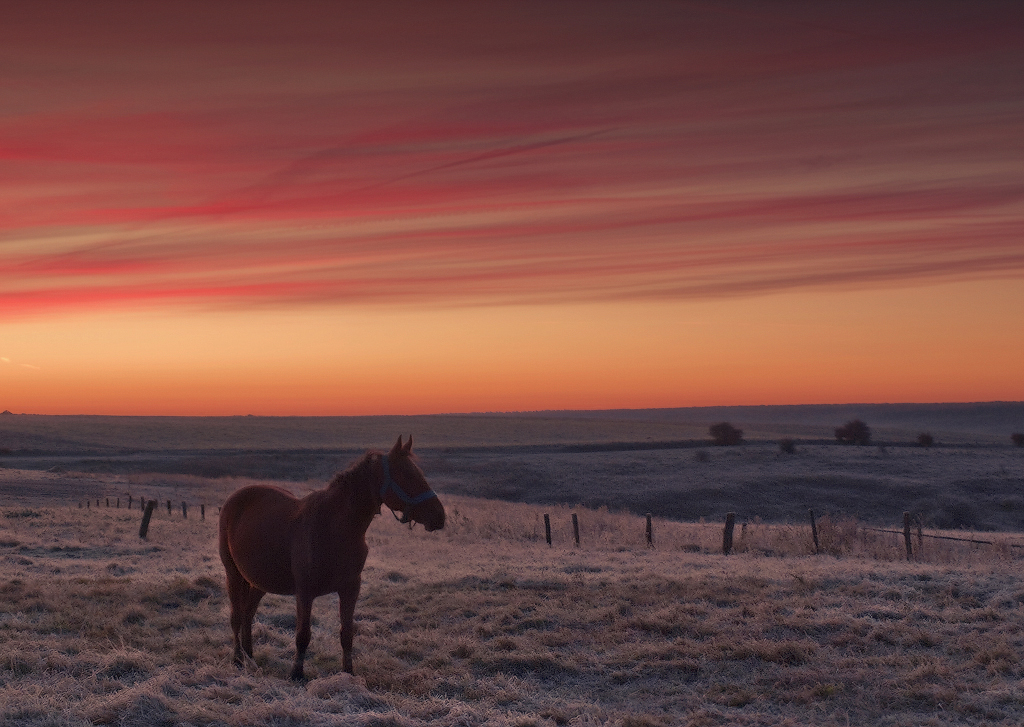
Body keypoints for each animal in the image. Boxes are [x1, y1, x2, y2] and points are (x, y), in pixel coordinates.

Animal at [218, 436, 442, 679]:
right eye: (407, 475)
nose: (439, 516)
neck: (334, 528)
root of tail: (234, 498)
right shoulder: (305, 592)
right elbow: (303, 635)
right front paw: (296, 674)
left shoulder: (350, 588)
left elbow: (347, 634)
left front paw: (348, 673)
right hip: (234, 574)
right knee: (237, 616)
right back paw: (238, 659)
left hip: (260, 580)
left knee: (248, 613)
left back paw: (250, 656)